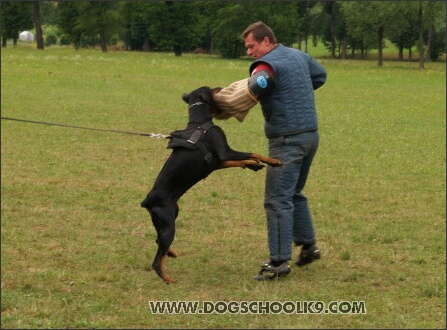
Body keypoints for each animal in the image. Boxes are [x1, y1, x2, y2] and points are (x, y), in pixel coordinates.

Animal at [142, 85, 282, 284]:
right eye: (210, 88)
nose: (220, 87)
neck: (199, 122)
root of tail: (147, 201)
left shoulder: (218, 161)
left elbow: (241, 160)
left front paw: (252, 165)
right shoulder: (223, 152)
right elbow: (252, 152)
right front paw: (272, 161)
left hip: (167, 217)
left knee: (158, 241)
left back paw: (171, 253)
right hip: (168, 222)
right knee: (156, 261)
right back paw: (169, 279)